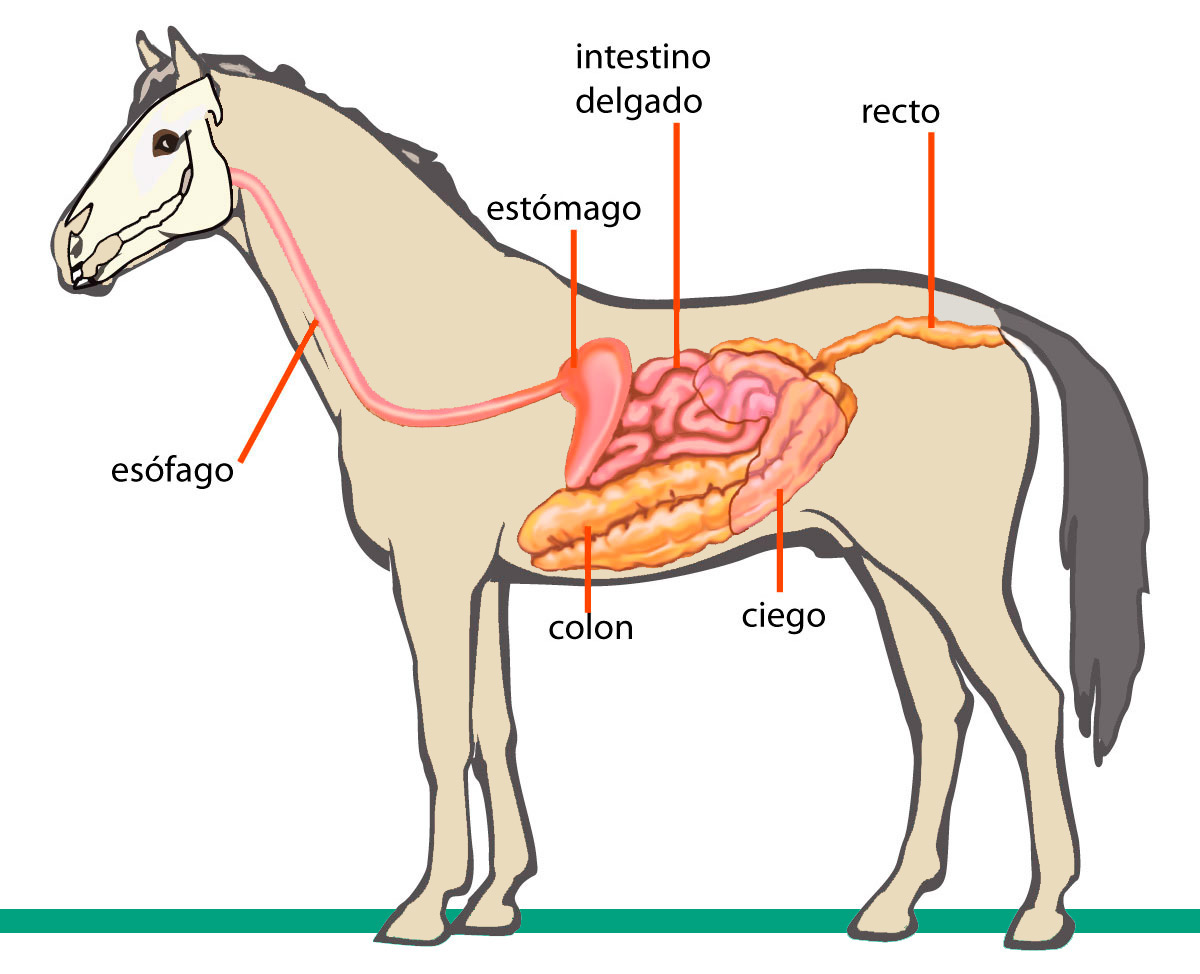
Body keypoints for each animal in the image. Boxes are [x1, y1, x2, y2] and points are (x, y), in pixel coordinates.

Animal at [50, 29, 1148, 950]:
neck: (434, 338)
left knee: (1027, 698)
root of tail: (985, 322)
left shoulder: (433, 576)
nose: (67, 248)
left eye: (163, 139)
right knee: (940, 707)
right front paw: (495, 900)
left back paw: (1041, 913)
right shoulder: (484, 581)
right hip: (889, 566)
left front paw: (422, 909)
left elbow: (441, 732)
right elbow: (491, 726)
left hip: (947, 564)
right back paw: (889, 906)